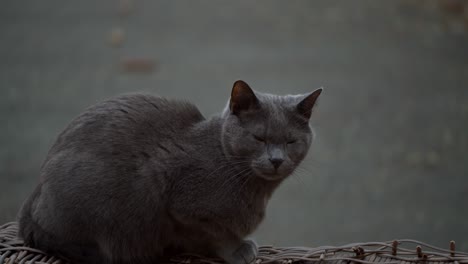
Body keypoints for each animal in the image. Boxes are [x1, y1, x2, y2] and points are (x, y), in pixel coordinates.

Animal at [17, 80, 322, 264]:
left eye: (290, 141)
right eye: (259, 138)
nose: (276, 159)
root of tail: (34, 195)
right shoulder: (180, 204)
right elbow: (214, 234)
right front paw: (238, 250)